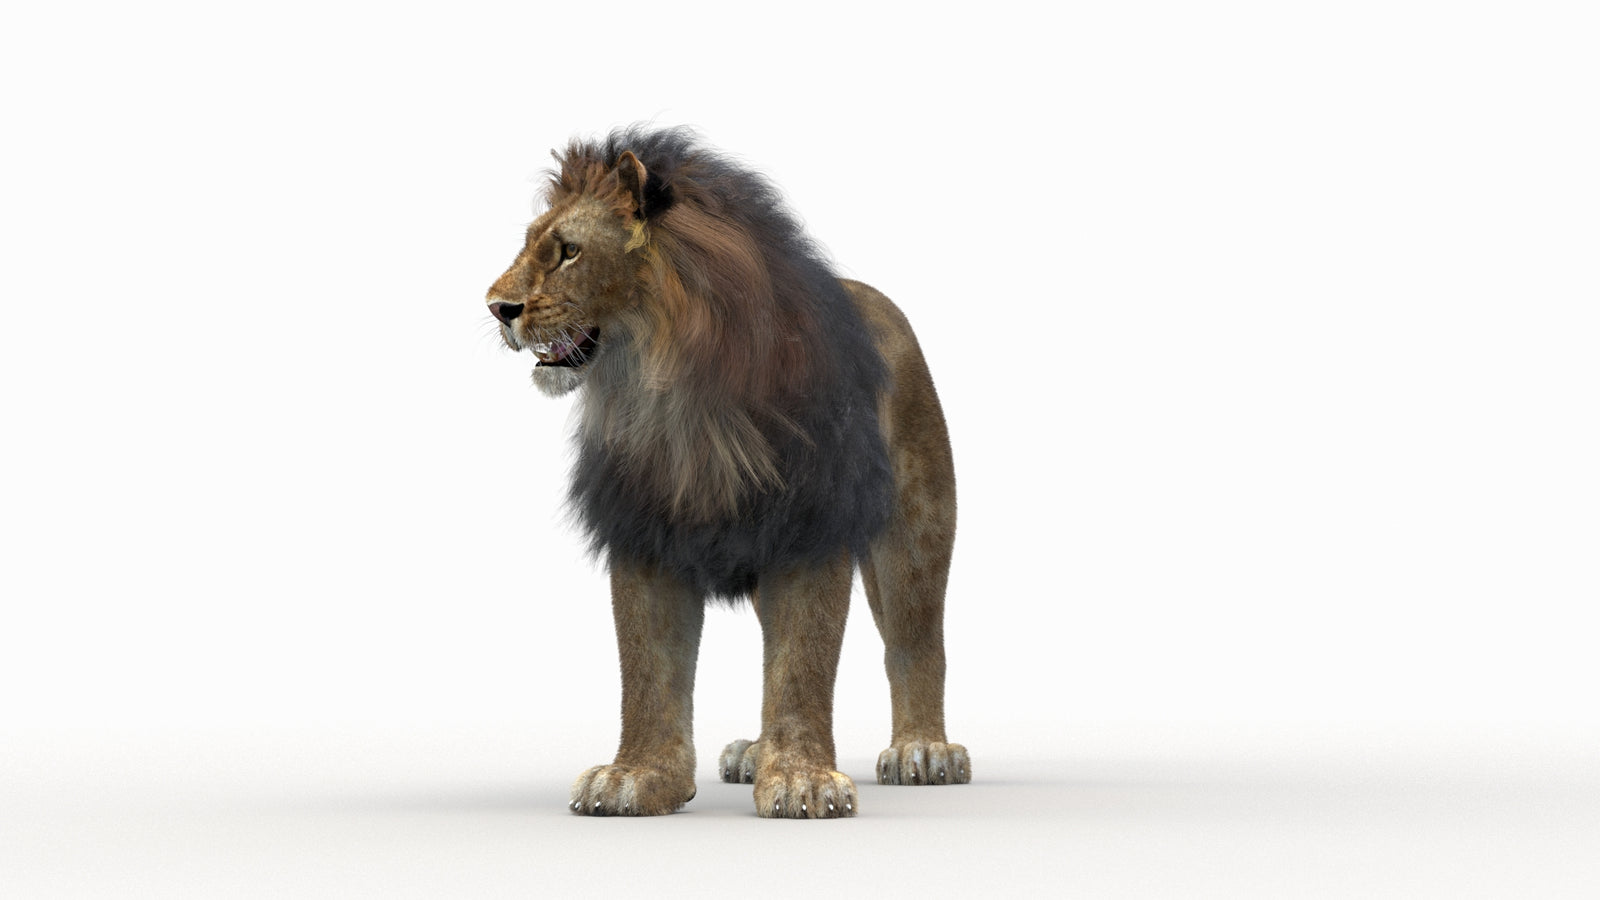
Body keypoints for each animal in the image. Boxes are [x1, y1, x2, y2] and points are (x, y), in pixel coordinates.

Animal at [485, 126, 967, 818]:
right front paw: (637, 777)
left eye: (570, 252)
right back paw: (755, 752)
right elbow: (648, 666)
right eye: (528, 245)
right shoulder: (644, 526)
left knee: (915, 638)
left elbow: (803, 661)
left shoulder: (809, 523)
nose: (497, 307)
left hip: (916, 529)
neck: (671, 391)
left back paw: (923, 751)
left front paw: (802, 781)